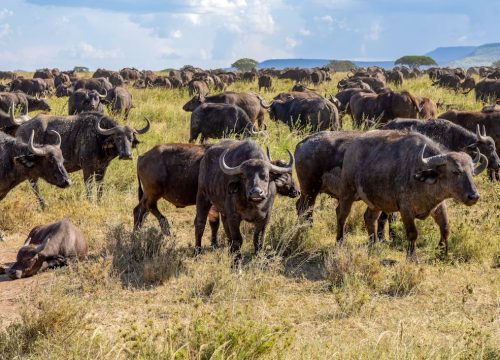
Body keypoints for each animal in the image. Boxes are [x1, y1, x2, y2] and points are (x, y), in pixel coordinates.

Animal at [17, 112, 150, 208]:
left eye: (131, 138)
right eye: (118, 137)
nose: (127, 154)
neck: (98, 139)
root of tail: (21, 128)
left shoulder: (102, 168)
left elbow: (100, 187)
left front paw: (100, 202)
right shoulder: (87, 168)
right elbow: (89, 186)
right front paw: (90, 202)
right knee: (34, 185)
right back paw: (43, 204)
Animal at [132, 143, 300, 242]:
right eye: (287, 175)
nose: (296, 191)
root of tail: (142, 156)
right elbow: (215, 223)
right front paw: (216, 243)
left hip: (147, 194)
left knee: (139, 210)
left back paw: (136, 232)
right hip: (153, 193)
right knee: (149, 207)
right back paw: (165, 227)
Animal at [334, 131, 486, 258]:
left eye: (472, 172)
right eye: (455, 171)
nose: (474, 196)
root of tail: (351, 148)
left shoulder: (439, 206)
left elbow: (446, 228)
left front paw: (443, 252)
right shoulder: (406, 209)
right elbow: (413, 233)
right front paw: (411, 255)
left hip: (375, 201)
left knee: (369, 218)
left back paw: (374, 244)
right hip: (347, 191)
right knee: (342, 214)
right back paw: (340, 241)